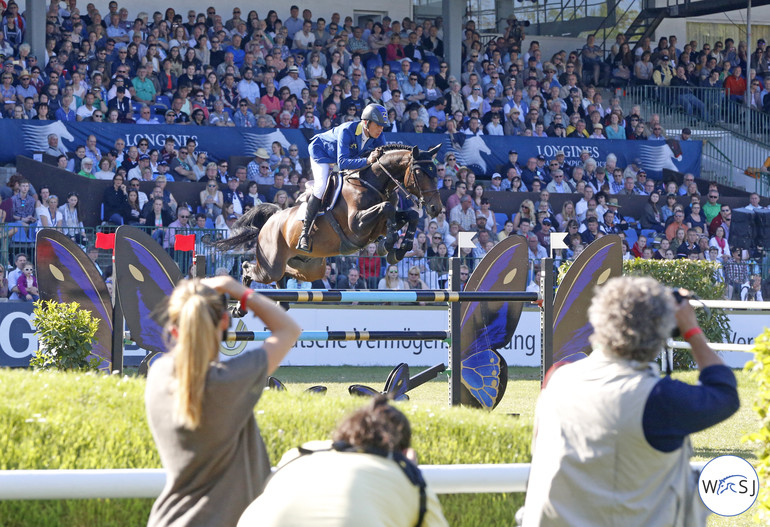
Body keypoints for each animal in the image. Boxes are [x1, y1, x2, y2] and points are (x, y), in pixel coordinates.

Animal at [214, 143, 444, 284]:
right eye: (419, 172)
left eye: (435, 172)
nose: (436, 208)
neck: (373, 184)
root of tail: (271, 220)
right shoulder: (356, 226)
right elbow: (387, 209)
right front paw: (387, 244)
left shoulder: (380, 223)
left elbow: (410, 215)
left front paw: (400, 248)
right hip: (271, 264)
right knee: (251, 268)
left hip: (309, 268)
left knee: (287, 273)